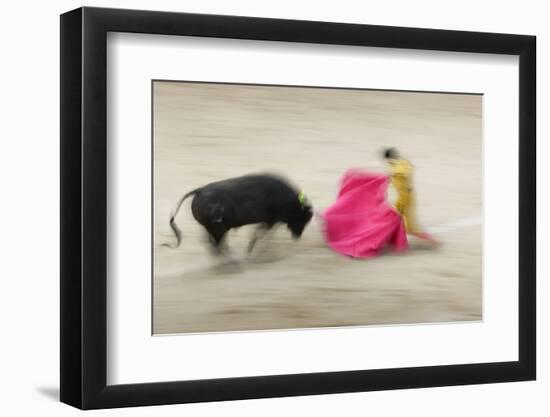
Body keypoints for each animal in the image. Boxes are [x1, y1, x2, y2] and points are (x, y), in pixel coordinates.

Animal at [163, 174, 314, 252]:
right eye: (303, 218)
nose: (297, 236)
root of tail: (199, 190)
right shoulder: (271, 220)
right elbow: (261, 234)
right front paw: (253, 249)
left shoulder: (270, 221)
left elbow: (262, 233)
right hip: (218, 229)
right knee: (216, 244)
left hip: (212, 228)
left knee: (211, 243)